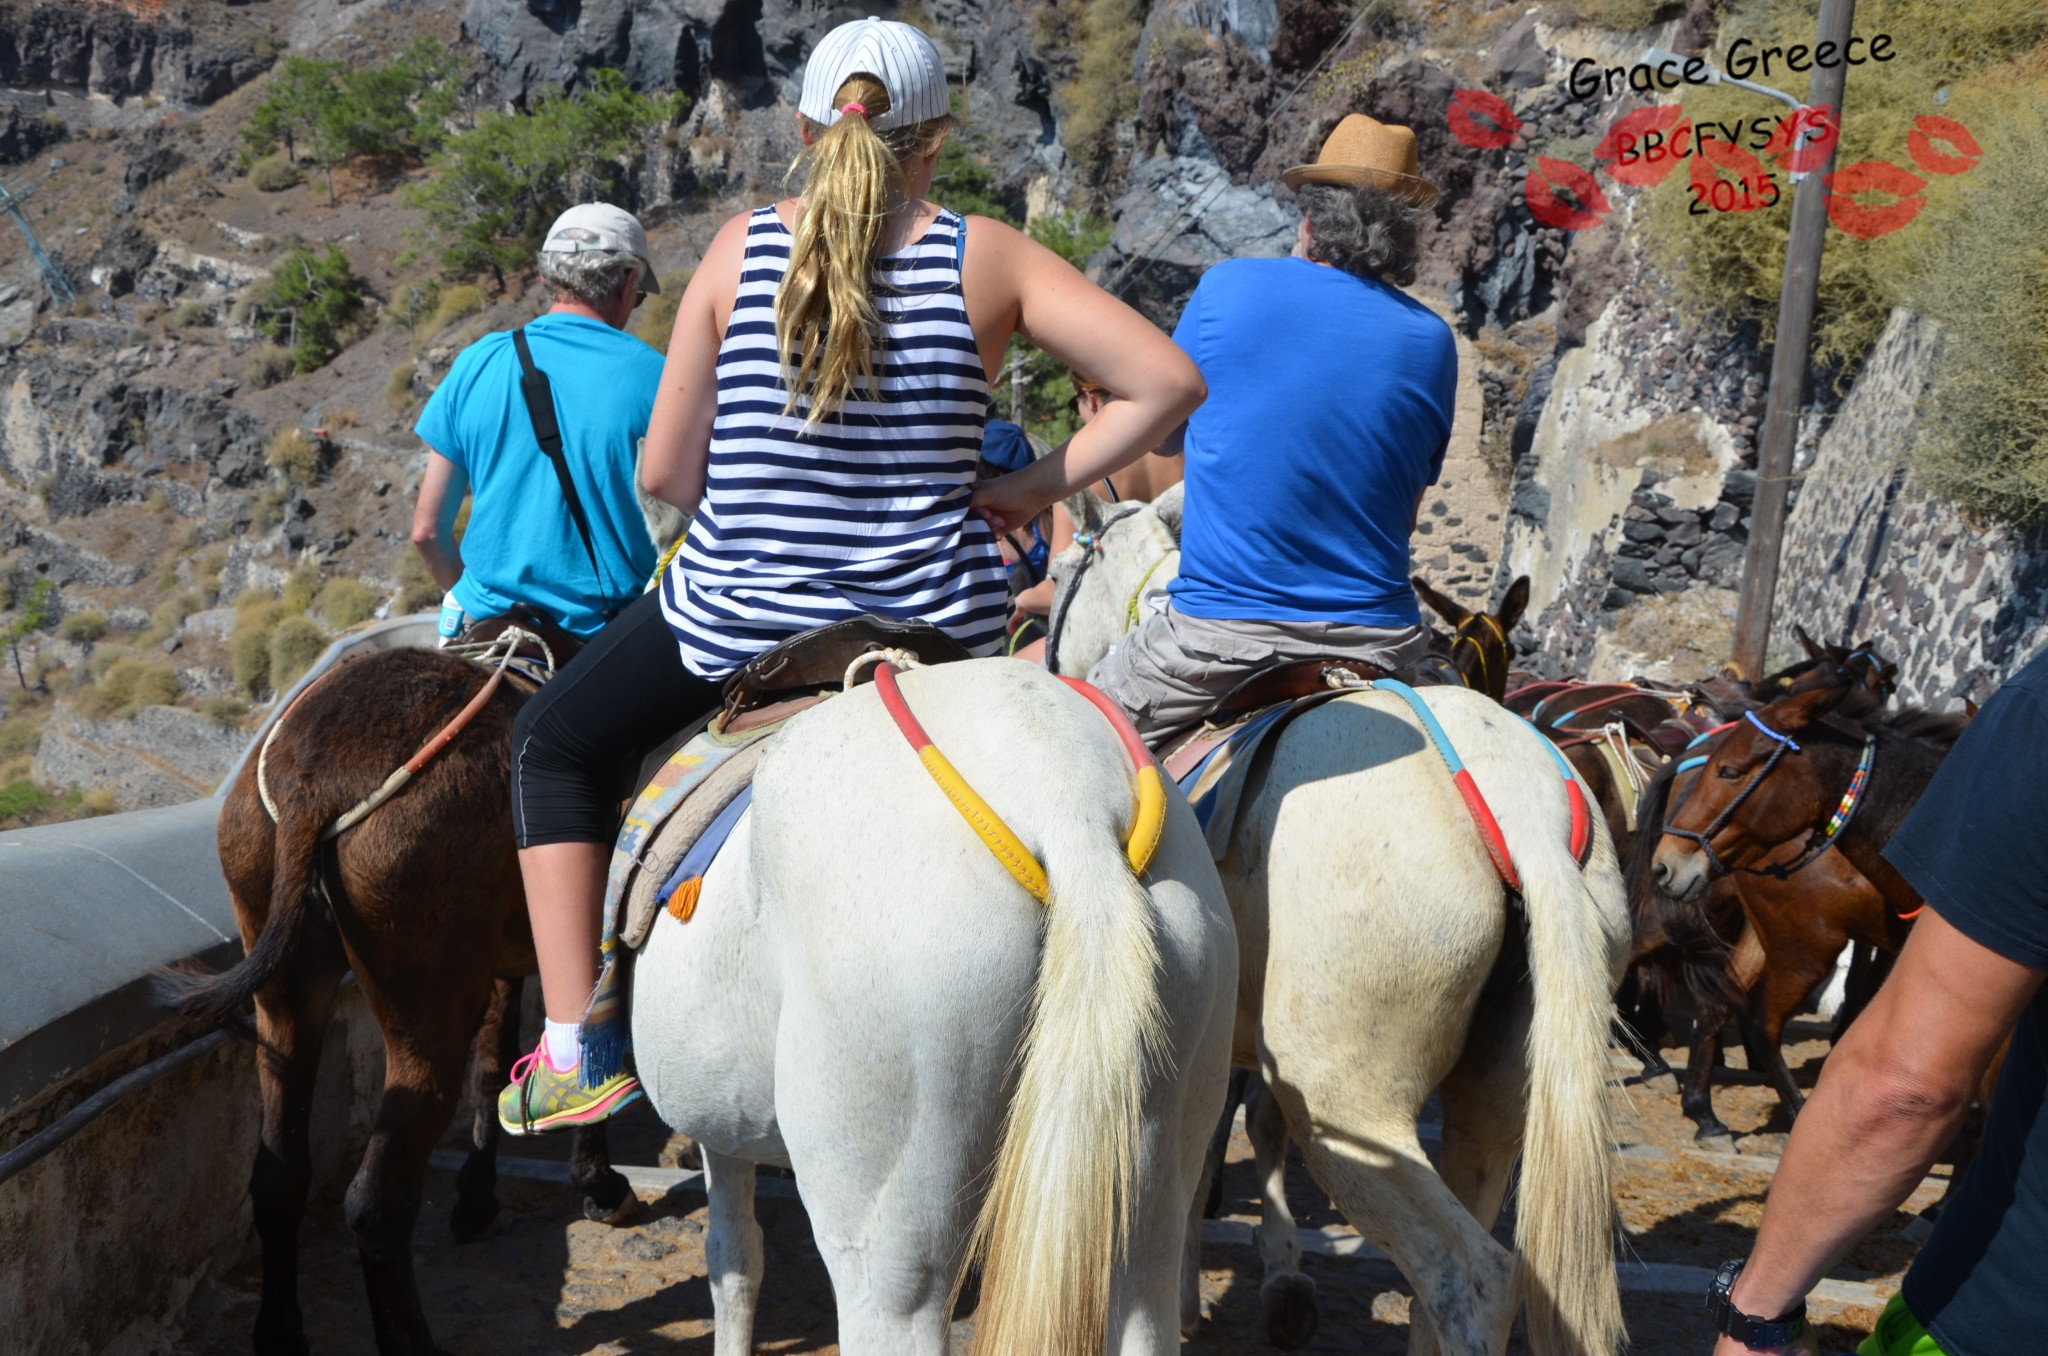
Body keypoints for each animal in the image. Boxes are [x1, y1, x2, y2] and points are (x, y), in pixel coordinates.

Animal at [626, 655, 1228, 1351]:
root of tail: (1068, 807)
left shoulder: (721, 1131)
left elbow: (732, 1259)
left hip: (890, 1255)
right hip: (1149, 1183)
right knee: (1147, 1280)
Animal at [1048, 499, 1622, 1356]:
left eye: (1057, 570)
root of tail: (1523, 808)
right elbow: (1236, 1131)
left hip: (1348, 1107)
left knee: (1473, 1276)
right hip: (1495, 1107)